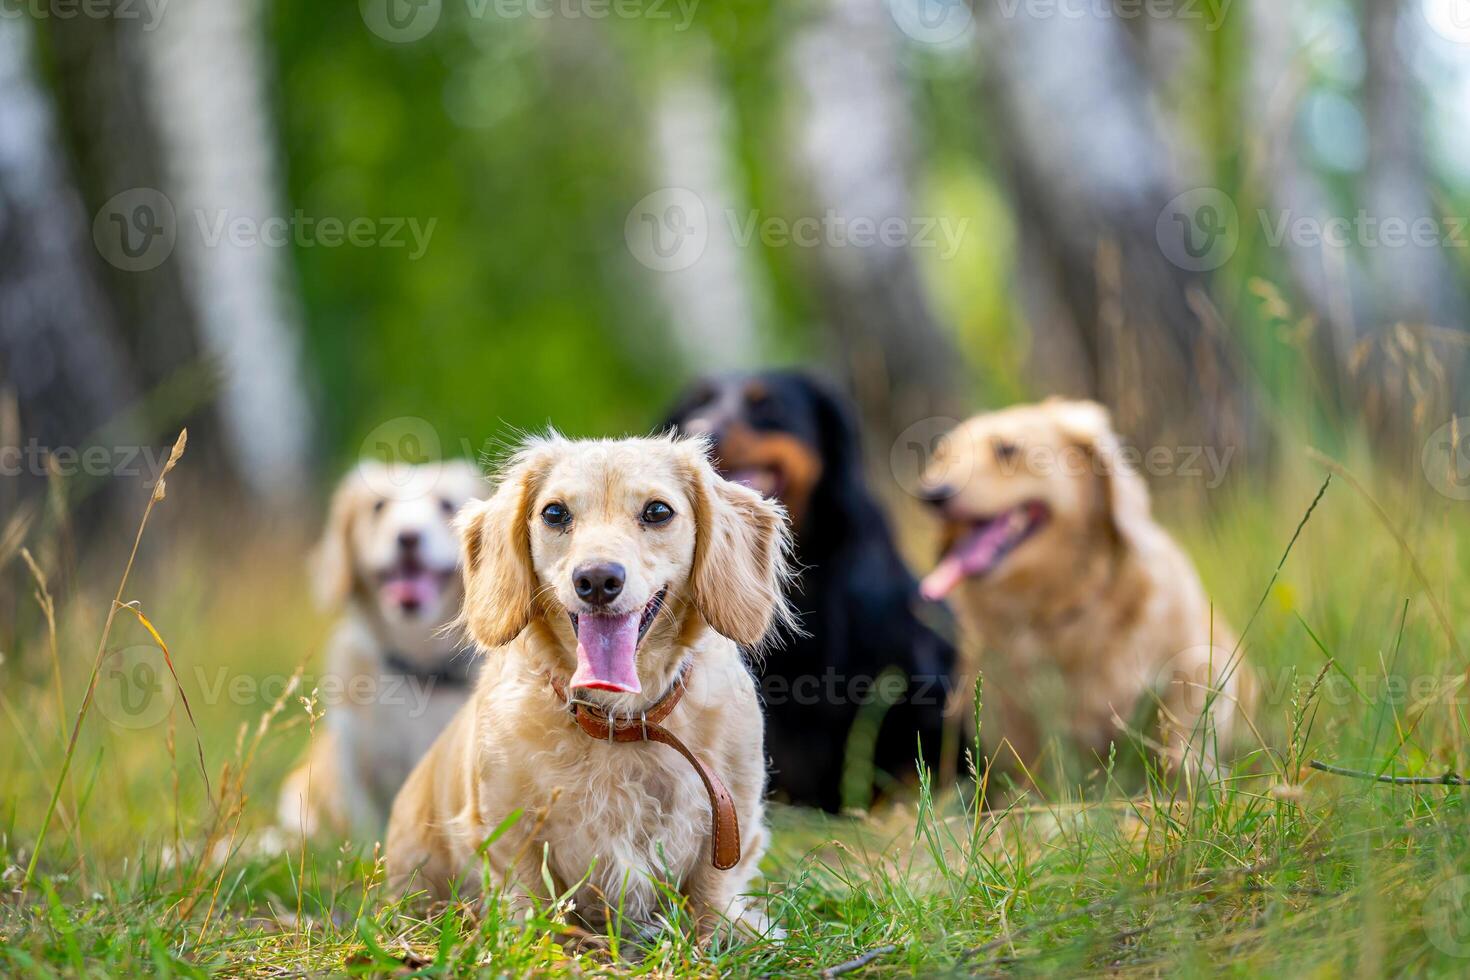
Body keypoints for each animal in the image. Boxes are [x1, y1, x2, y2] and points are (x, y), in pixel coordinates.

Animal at [382, 431, 793, 940]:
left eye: (658, 511)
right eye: (555, 513)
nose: (597, 579)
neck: (620, 721)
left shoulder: (731, 819)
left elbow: (711, 896)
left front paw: (722, 936)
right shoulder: (506, 830)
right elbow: (528, 897)